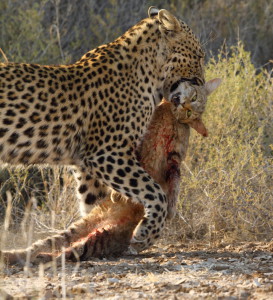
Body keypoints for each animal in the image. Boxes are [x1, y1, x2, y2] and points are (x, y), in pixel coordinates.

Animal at [0, 6, 205, 251]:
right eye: (199, 56)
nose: (202, 83)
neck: (151, 73)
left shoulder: (85, 164)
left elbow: (93, 202)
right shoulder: (108, 154)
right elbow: (154, 192)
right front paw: (146, 234)